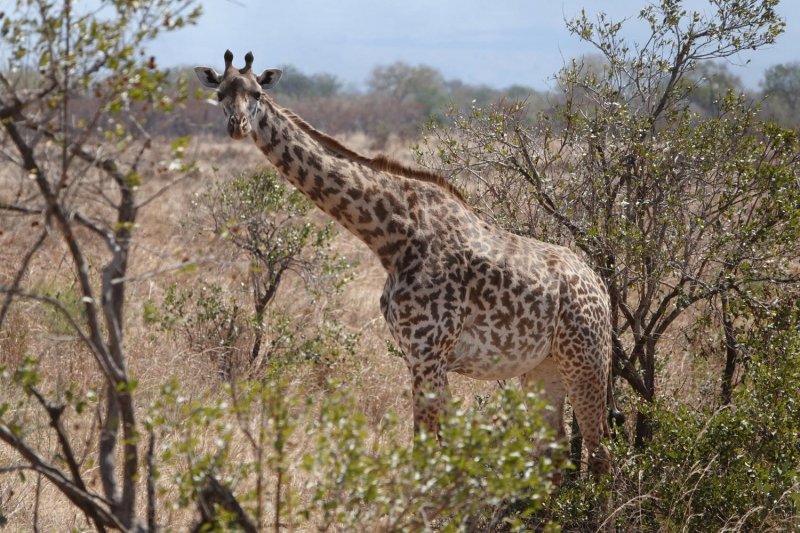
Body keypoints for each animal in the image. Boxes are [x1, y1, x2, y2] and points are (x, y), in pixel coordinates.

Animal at [194, 52, 612, 480]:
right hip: (543, 368)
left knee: (600, 451)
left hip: (587, 359)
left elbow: (425, 452)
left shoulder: (429, 353)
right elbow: (440, 451)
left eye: (258, 94)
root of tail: (600, 284)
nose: (237, 126)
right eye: (220, 93)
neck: (393, 239)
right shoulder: (420, 356)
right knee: (556, 452)